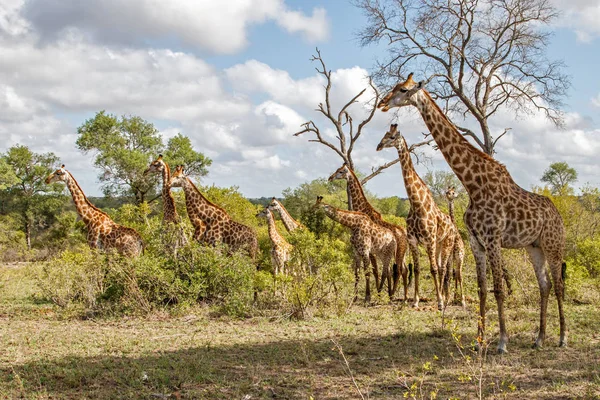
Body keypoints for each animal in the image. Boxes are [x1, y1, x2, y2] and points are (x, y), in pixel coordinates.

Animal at [328, 163, 412, 300]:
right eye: (336, 170)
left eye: (340, 171)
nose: (330, 177)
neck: (363, 209)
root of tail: (404, 233)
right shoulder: (372, 252)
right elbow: (376, 271)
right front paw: (375, 292)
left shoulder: (370, 251)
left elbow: (374, 271)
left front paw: (373, 294)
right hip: (402, 253)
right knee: (403, 270)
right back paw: (400, 295)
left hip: (398, 253)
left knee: (400, 270)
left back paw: (396, 295)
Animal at [376, 124, 460, 310]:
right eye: (385, 134)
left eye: (392, 137)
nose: (379, 146)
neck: (416, 204)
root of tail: (452, 225)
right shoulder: (413, 241)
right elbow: (418, 269)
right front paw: (414, 301)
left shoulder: (429, 240)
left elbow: (433, 269)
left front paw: (440, 302)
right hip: (438, 244)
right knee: (440, 267)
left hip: (446, 243)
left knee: (443, 268)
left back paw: (444, 299)